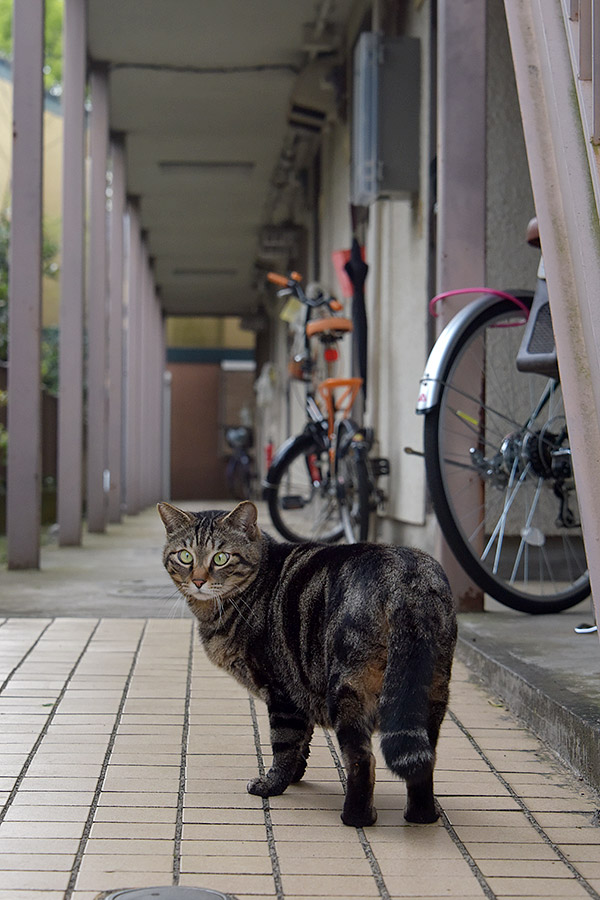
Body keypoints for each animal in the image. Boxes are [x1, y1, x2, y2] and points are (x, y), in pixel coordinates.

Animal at [157, 502, 458, 828]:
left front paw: (273, 784)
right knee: (424, 762)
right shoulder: (302, 693)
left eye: (220, 558)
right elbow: (303, 740)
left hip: (348, 690)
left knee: (362, 760)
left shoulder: (282, 692)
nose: (198, 581)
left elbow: (284, 745)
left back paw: (357, 817)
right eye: (185, 556)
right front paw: (295, 775)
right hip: (430, 694)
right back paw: (422, 815)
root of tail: (405, 579)